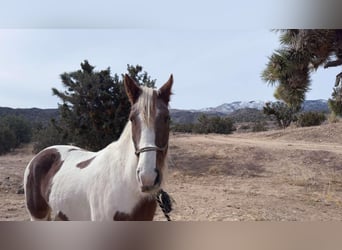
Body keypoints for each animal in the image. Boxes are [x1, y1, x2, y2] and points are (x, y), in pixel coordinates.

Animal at [23, 74, 174, 221]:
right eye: (132, 119)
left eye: (167, 118)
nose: (147, 177)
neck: (125, 180)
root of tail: (42, 154)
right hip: (37, 215)